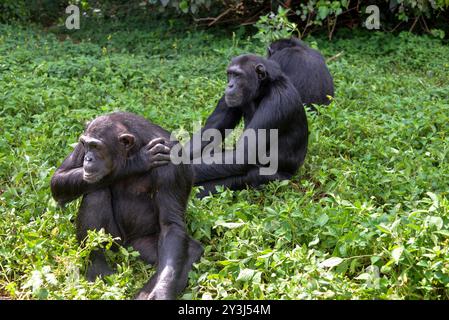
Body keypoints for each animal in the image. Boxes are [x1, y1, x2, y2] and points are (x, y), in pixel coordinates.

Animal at [50, 112, 202, 300]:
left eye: (96, 146)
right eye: (86, 145)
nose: (88, 158)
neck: (135, 146)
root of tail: (125, 248)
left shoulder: (171, 165)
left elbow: (171, 225)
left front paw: (161, 291)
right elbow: (58, 178)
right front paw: (134, 163)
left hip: (138, 246)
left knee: (189, 249)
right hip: (113, 240)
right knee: (96, 193)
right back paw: (97, 270)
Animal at [189, 54, 308, 198]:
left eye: (238, 75)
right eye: (230, 74)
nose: (230, 85)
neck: (262, 90)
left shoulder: (278, 101)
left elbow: (242, 155)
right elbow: (208, 134)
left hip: (283, 180)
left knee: (252, 174)